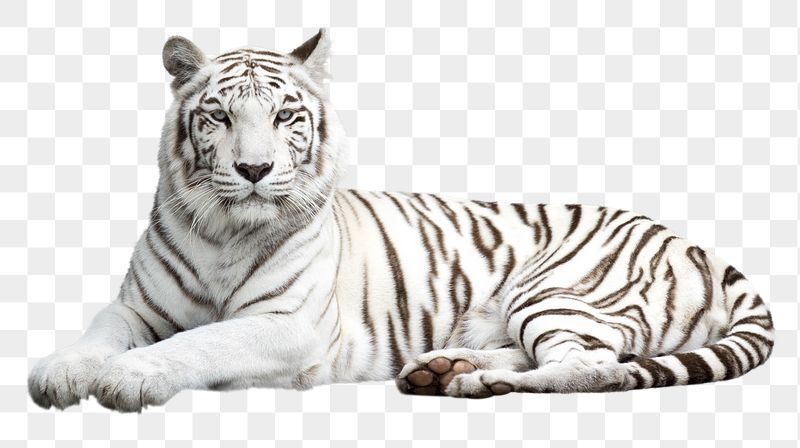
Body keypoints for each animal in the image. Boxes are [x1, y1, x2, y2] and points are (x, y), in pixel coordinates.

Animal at [28, 29, 774, 412]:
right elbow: (98, 333)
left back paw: (478, 382)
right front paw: (60, 373)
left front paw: (128, 378)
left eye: (285, 115)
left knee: (595, 368)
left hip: (558, 290)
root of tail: (697, 245)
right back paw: (438, 367)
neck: (223, 230)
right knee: (578, 356)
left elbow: (200, 343)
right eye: (217, 116)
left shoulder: (289, 325)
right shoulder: (136, 307)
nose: (255, 170)